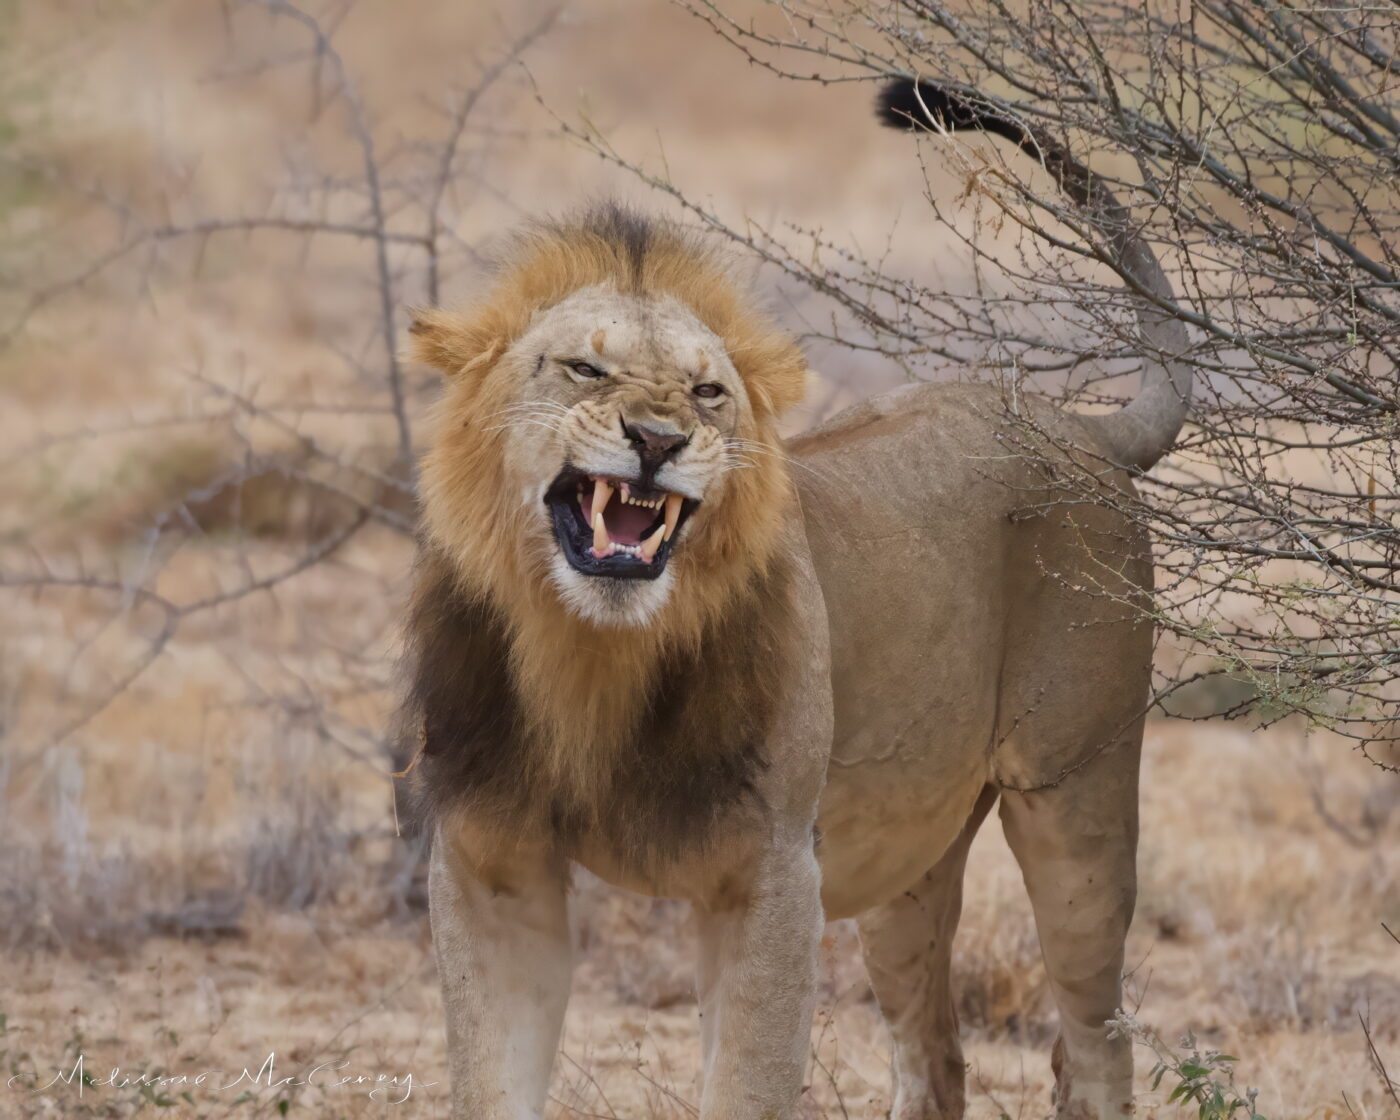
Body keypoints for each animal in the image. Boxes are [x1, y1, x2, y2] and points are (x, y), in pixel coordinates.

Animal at [397, 78, 1192, 1120]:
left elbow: (747, 1084)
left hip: (1075, 801)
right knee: (935, 1058)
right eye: (585, 369)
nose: (657, 439)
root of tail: (1082, 429)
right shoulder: (492, 864)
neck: (593, 655)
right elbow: (493, 1080)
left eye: (708, 392)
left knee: (1098, 1043)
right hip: (904, 860)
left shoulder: (771, 874)